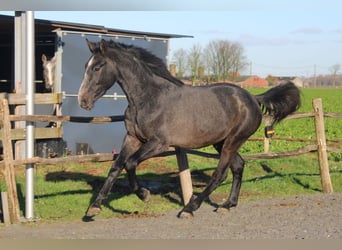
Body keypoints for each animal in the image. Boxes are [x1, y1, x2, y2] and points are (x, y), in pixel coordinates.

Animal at [77, 38, 300, 217]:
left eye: (97, 67)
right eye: (86, 65)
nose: (83, 101)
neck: (149, 98)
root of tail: (253, 97)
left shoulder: (158, 143)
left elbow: (130, 163)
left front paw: (144, 195)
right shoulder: (132, 137)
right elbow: (116, 166)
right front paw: (94, 207)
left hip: (233, 141)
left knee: (220, 174)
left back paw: (189, 208)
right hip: (221, 142)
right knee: (238, 165)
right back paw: (228, 205)